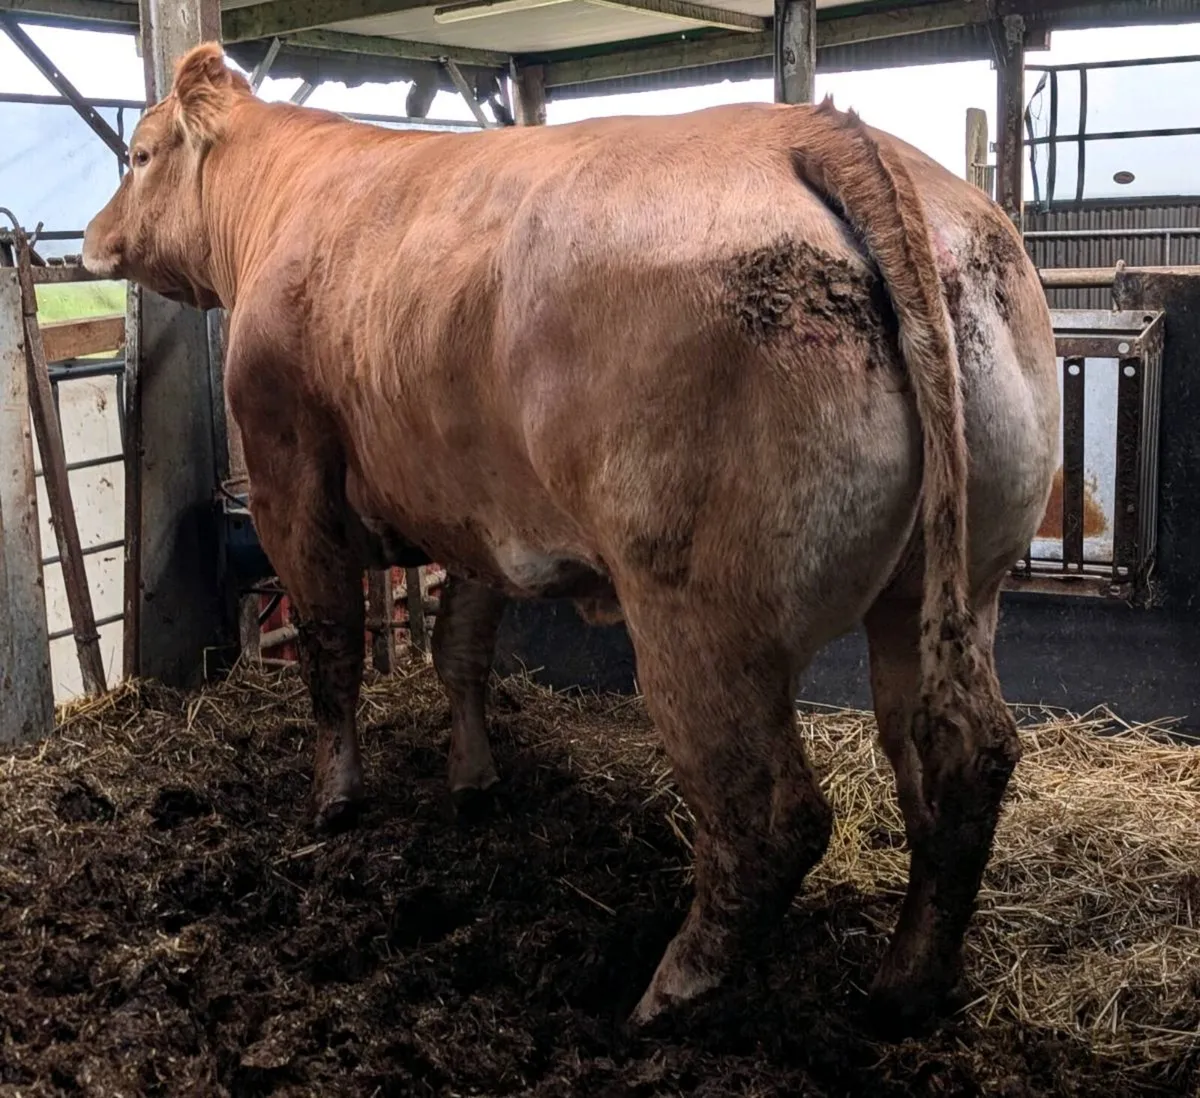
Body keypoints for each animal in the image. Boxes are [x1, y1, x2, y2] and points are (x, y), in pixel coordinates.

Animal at [83, 43, 1060, 1036]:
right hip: (952, 587)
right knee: (957, 757)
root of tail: (824, 132)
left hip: (700, 616)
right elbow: (460, 648)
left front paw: (335, 800)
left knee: (769, 815)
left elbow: (332, 650)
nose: (91, 237)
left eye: (139, 154)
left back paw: (667, 993)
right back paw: (908, 983)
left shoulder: (291, 479)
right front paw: (473, 781)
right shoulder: (472, 508)